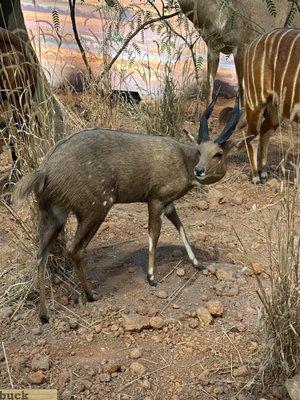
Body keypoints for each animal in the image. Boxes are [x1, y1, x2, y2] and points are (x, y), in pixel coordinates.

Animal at [13, 94, 246, 324]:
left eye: (218, 153)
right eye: (200, 151)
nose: (200, 170)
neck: (182, 159)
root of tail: (44, 171)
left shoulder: (169, 204)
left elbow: (181, 227)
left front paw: (198, 264)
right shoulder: (156, 199)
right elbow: (154, 233)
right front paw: (152, 277)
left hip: (54, 215)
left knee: (41, 254)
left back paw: (44, 315)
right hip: (96, 208)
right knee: (73, 249)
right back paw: (91, 295)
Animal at [244, 28, 300, 184]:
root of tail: (253, 44)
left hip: (276, 109)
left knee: (264, 130)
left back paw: (263, 173)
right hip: (255, 100)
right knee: (251, 135)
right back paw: (255, 176)